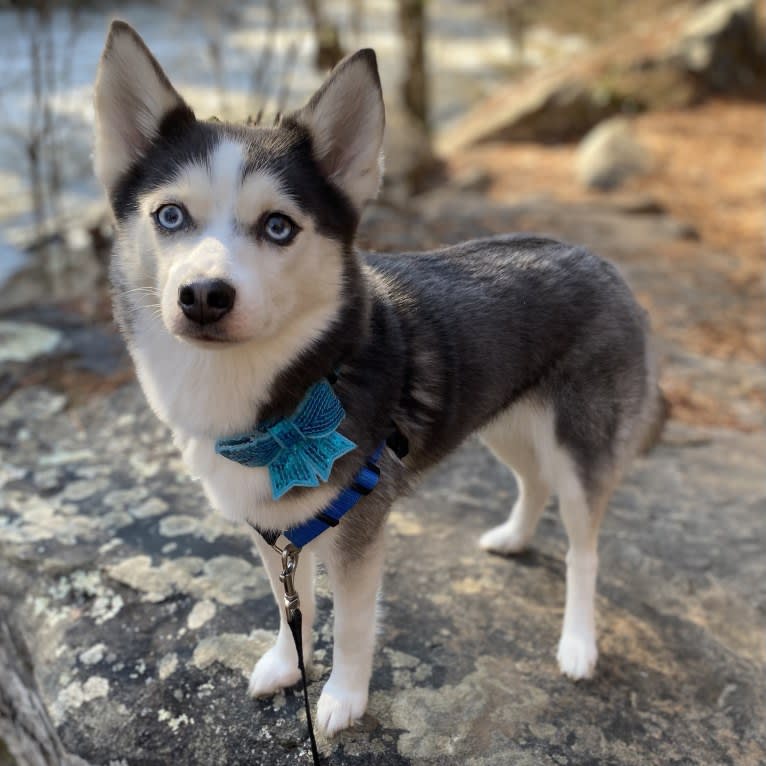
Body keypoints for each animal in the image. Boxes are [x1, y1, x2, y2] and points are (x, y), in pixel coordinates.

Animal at [94, 19, 660, 736]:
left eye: (278, 226)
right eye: (170, 215)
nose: (203, 296)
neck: (299, 385)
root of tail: (600, 262)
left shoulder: (358, 528)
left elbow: (355, 623)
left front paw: (342, 698)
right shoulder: (272, 528)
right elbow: (291, 602)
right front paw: (288, 663)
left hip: (581, 444)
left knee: (583, 547)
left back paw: (579, 642)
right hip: (503, 421)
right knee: (533, 480)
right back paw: (513, 537)